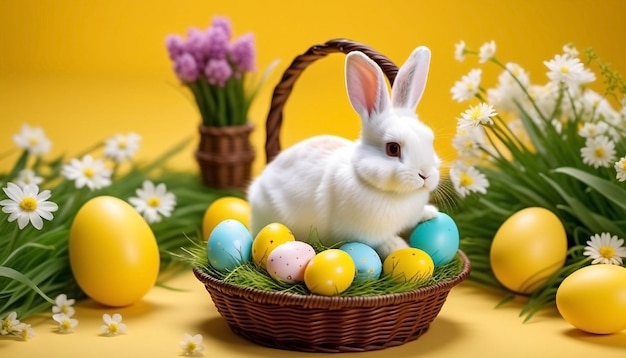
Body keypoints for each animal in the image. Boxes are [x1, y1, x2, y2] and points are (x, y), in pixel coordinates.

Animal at [247, 46, 438, 260]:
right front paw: (398, 247)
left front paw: (431, 212)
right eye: (393, 148)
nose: (425, 175)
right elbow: (380, 242)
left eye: (429, 139)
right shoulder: (365, 235)